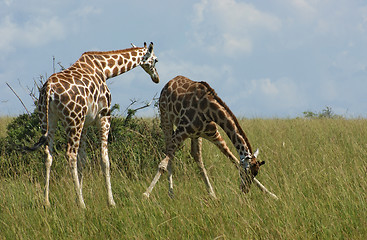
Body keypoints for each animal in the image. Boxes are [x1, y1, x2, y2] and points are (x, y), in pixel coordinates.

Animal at [24, 42, 160, 207]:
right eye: (156, 60)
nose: (156, 78)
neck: (105, 69)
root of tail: (49, 89)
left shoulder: (86, 123)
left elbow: (83, 159)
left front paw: (78, 196)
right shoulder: (104, 115)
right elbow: (104, 158)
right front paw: (110, 201)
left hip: (48, 119)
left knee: (48, 155)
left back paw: (47, 202)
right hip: (73, 119)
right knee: (70, 154)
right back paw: (82, 205)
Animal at [144, 76, 278, 200]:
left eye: (255, 173)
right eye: (247, 172)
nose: (244, 190)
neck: (209, 111)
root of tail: (170, 82)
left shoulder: (214, 135)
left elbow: (234, 159)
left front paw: (271, 194)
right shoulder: (181, 131)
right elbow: (162, 164)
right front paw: (145, 195)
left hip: (196, 135)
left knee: (196, 156)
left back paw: (211, 194)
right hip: (166, 118)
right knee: (169, 155)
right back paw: (171, 193)